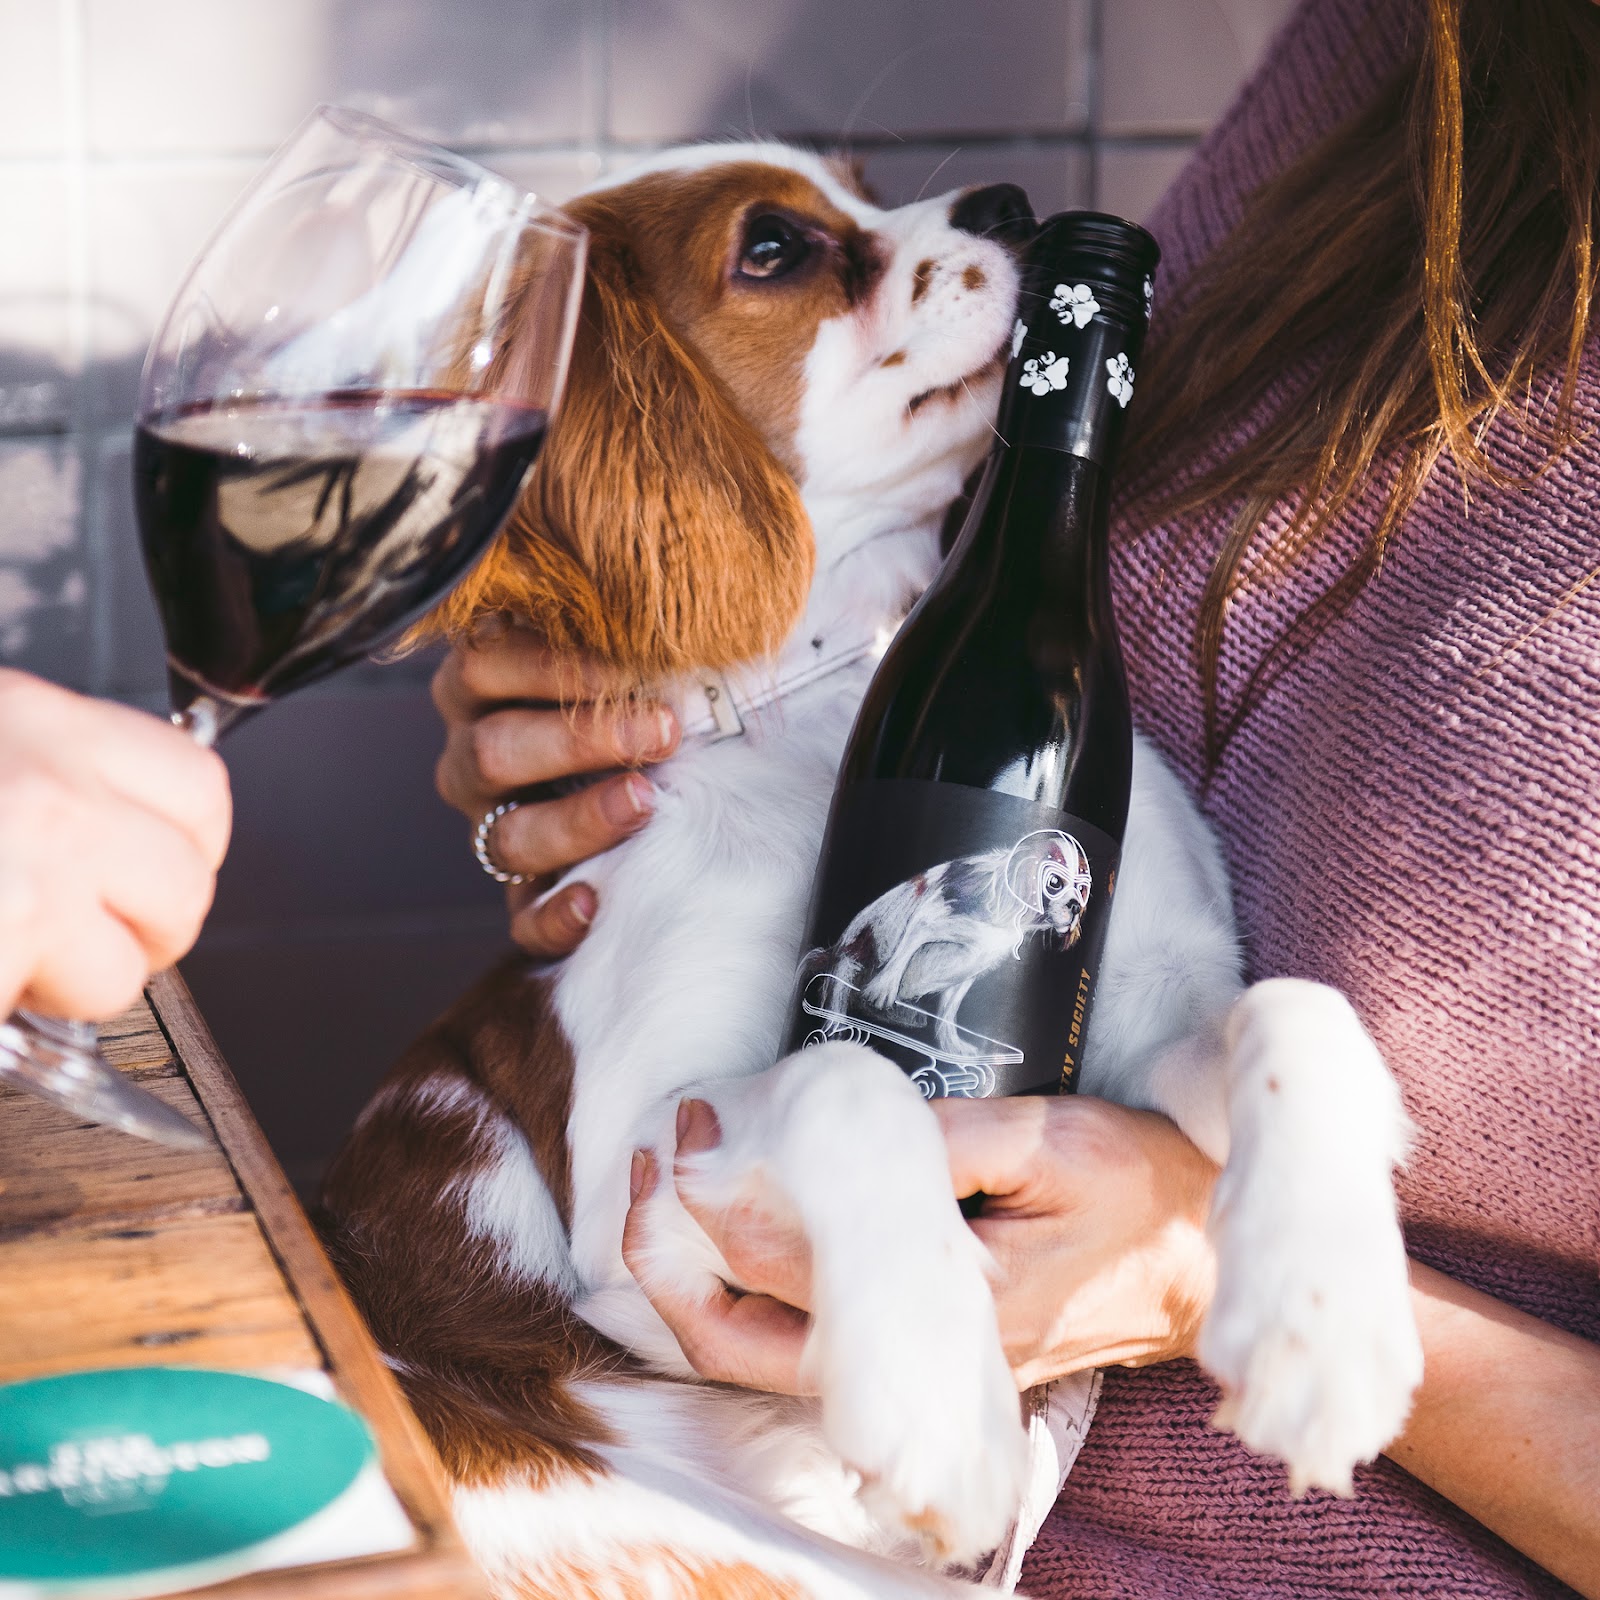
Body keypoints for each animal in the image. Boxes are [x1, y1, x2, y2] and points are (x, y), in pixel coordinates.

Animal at [318, 140, 1420, 1600]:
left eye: (863, 179)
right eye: (774, 247)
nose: (1014, 204)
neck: (827, 696)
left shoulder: (1122, 1006)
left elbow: (1288, 1014)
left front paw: (1326, 1315)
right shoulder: (636, 1184)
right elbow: (846, 1075)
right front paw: (940, 1405)